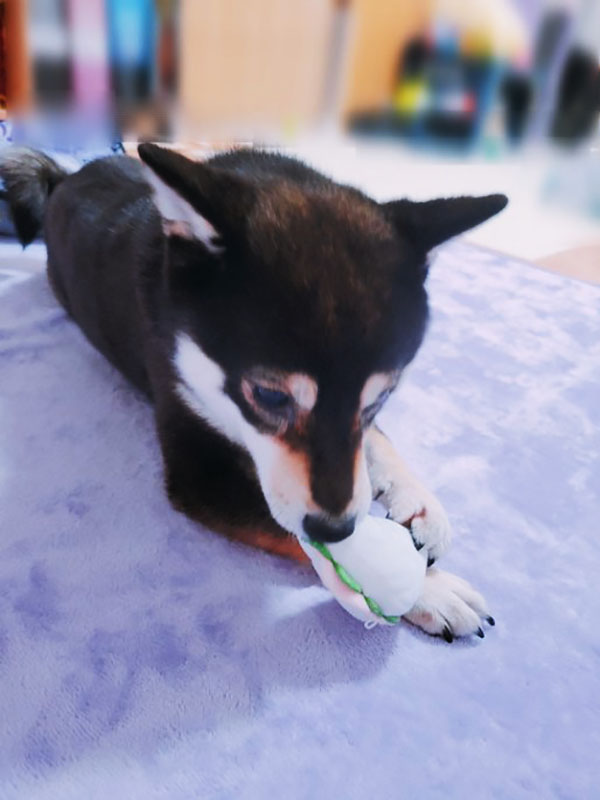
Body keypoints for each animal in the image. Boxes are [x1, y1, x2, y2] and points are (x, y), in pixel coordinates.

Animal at [0, 144, 506, 640]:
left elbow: (377, 440)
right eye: (270, 396)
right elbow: (302, 537)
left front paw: (418, 503)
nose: (336, 526)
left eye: (381, 398)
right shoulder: (200, 472)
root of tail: (63, 178)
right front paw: (426, 590)